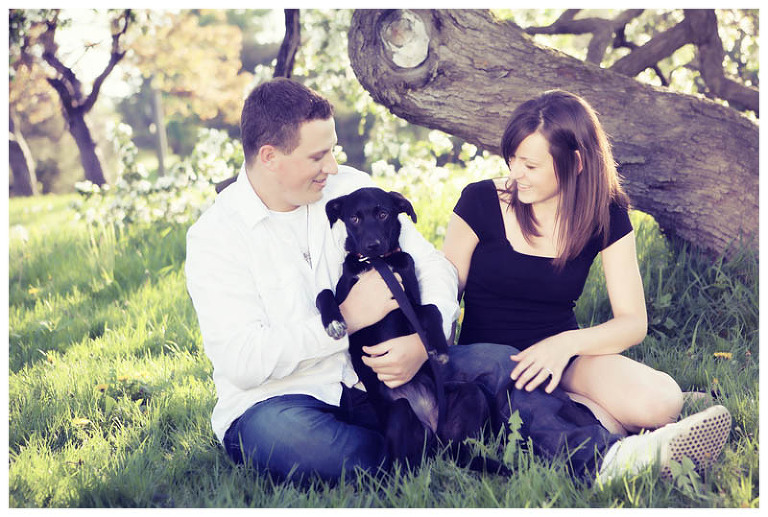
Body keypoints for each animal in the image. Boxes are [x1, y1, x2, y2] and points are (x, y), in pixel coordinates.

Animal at [315, 187, 504, 472]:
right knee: (400, 468)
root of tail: (434, 434)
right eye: (354, 218)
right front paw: (334, 323)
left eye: (383, 214)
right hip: (399, 412)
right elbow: (323, 293)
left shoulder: (411, 303)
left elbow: (432, 309)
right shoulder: (346, 294)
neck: (378, 263)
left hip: (470, 396)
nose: (372, 245)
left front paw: (438, 348)